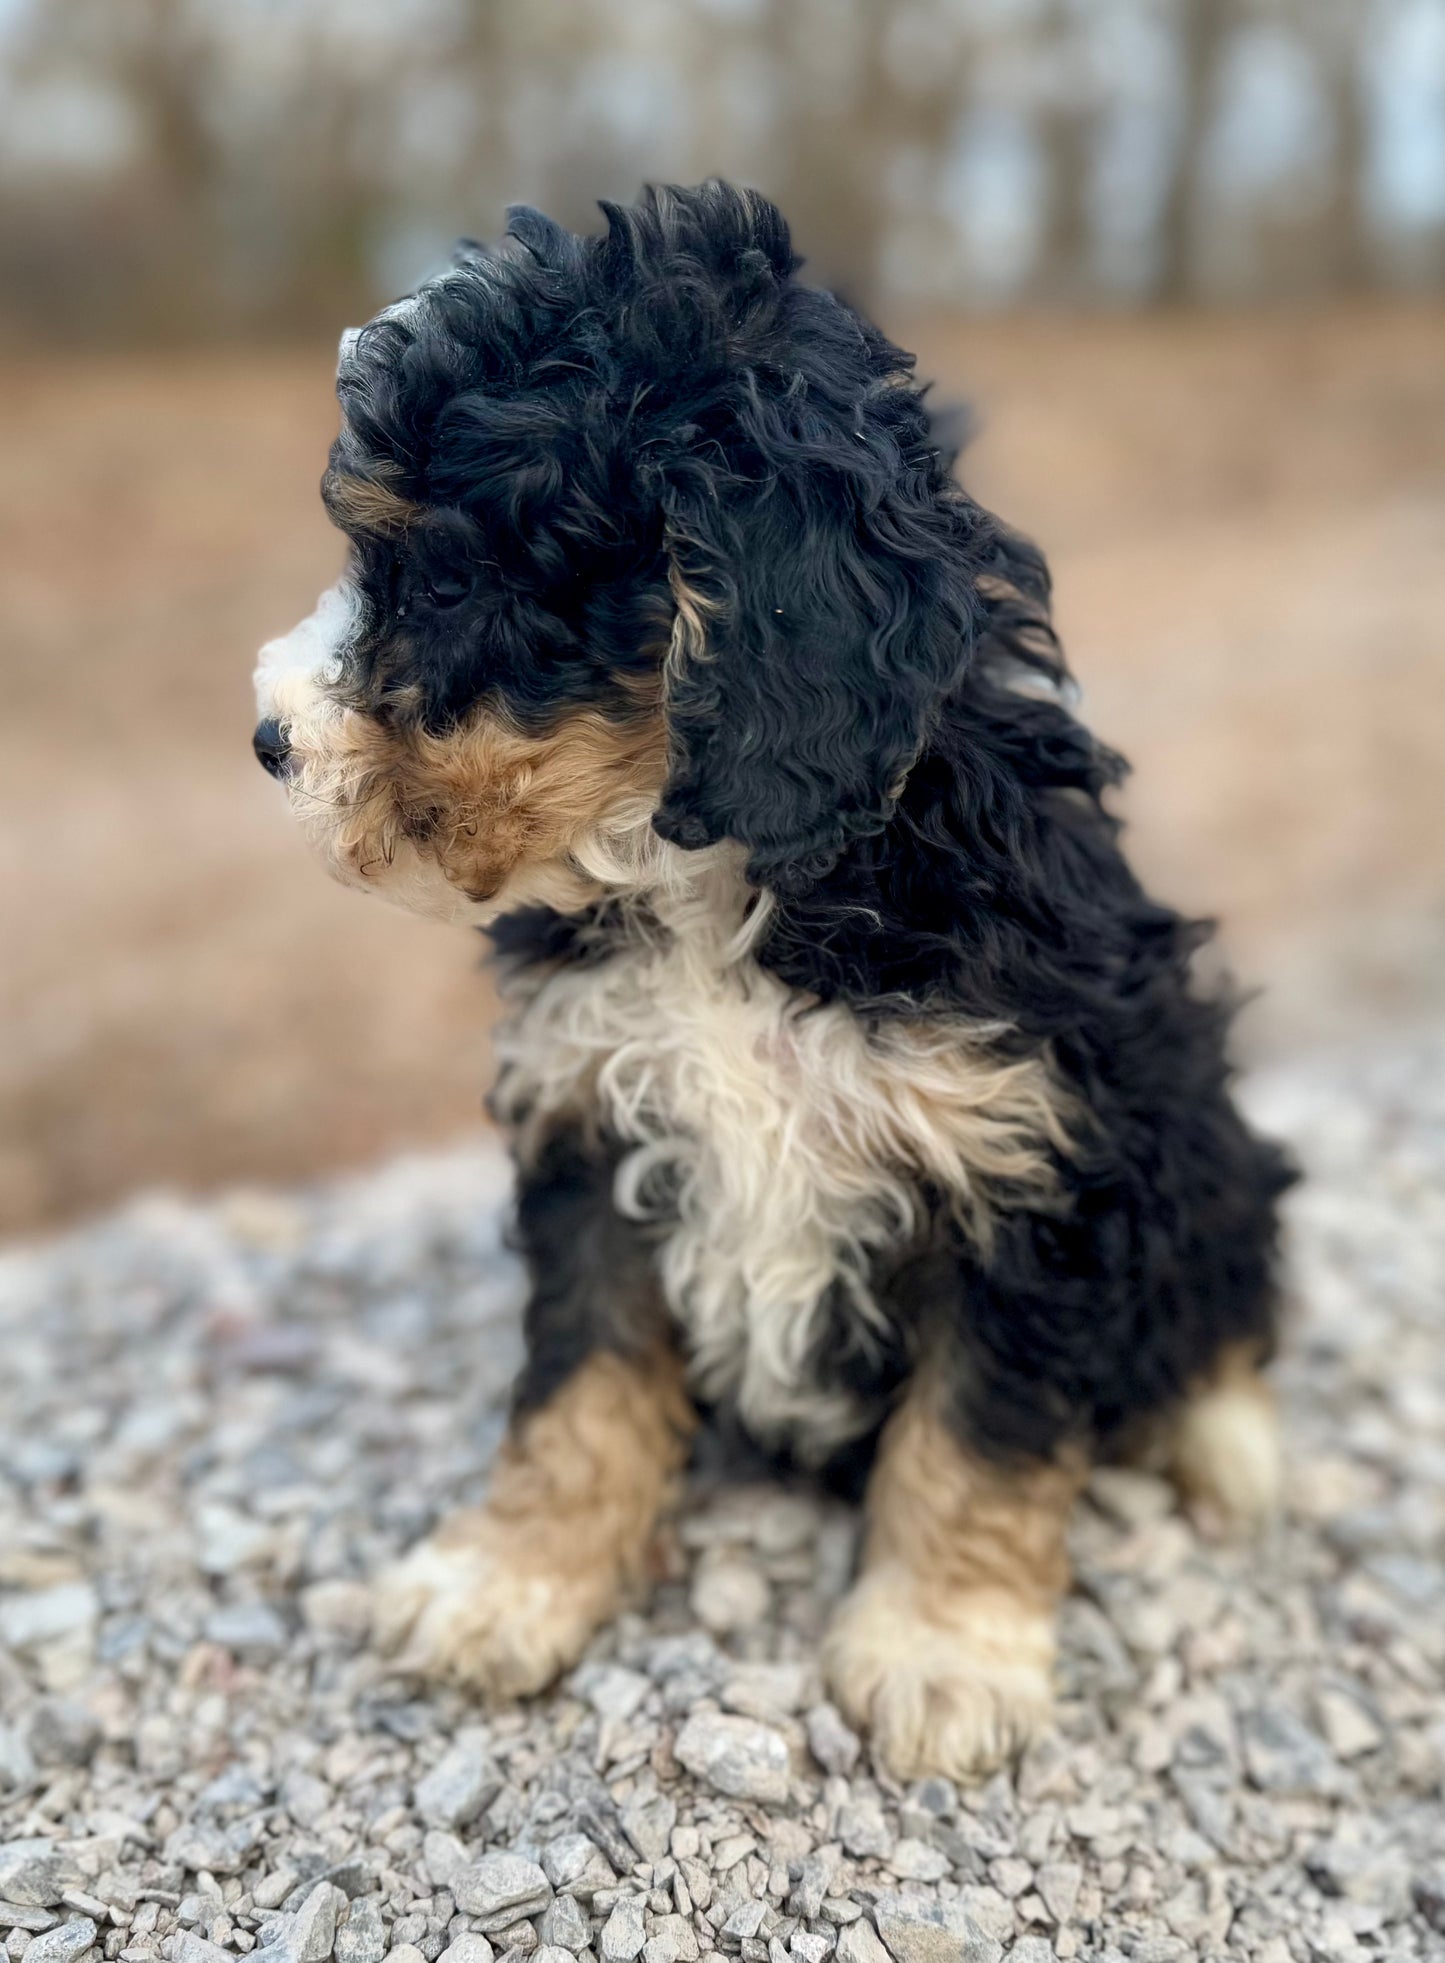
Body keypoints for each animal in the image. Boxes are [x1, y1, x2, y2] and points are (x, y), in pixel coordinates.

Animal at [253, 184, 1295, 1782]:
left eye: (447, 578)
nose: (267, 738)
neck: (711, 883)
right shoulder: (592, 1124)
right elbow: (577, 1387)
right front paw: (509, 1578)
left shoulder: (1032, 1161)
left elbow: (977, 1432)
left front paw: (939, 1649)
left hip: (1199, 1116)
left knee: (1229, 1285)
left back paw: (1231, 1443)